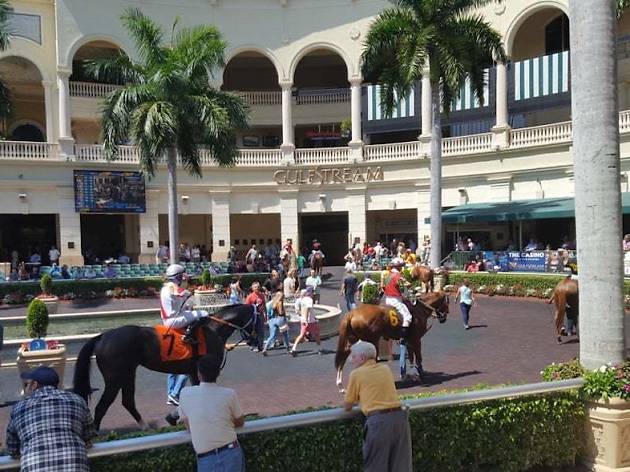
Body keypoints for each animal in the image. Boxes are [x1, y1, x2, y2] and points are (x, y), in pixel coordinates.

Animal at [75, 304, 258, 430]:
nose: (256, 341)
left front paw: (173, 417)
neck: (213, 330)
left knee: (128, 401)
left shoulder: (193, 371)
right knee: (102, 406)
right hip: (114, 378)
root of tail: (102, 336)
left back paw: (145, 427)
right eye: (259, 318)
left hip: (128, 373)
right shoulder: (203, 371)